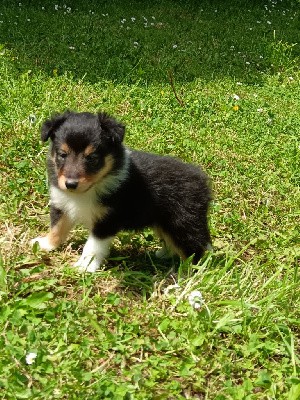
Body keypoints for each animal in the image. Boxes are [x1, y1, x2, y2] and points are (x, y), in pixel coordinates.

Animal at [31, 111, 212, 272]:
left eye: (92, 158)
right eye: (62, 154)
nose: (70, 184)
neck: (90, 188)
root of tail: (203, 182)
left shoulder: (107, 220)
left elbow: (92, 246)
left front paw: (85, 266)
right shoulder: (62, 205)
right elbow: (57, 228)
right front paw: (46, 244)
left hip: (183, 223)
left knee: (194, 250)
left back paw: (186, 274)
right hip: (164, 223)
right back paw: (164, 255)